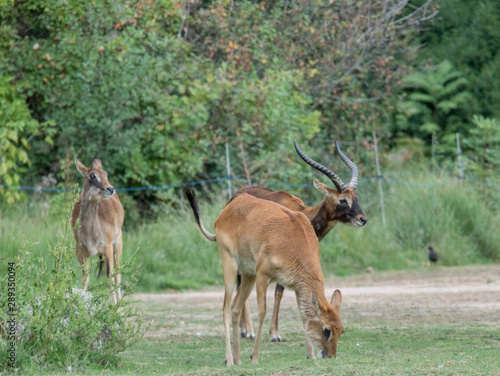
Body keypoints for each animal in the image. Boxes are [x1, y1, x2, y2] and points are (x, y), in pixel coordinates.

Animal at [70, 157, 124, 304]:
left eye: (106, 174)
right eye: (92, 176)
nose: (110, 189)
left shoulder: (107, 247)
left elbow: (110, 277)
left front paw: (117, 308)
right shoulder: (81, 249)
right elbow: (85, 277)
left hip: (118, 244)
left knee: (118, 274)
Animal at [184, 189, 344, 366]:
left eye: (341, 330)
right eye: (327, 329)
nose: (330, 355)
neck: (296, 242)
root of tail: (226, 211)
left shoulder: (296, 287)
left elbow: (303, 315)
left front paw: (310, 355)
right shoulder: (263, 276)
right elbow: (262, 312)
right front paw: (254, 356)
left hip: (248, 275)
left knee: (235, 307)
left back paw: (238, 359)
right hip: (230, 265)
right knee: (226, 308)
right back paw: (229, 360)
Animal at [236, 140, 366, 342]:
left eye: (356, 198)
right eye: (343, 200)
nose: (362, 219)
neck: (304, 215)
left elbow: (282, 291)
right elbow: (279, 290)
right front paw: (275, 334)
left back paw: (244, 330)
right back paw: (247, 330)